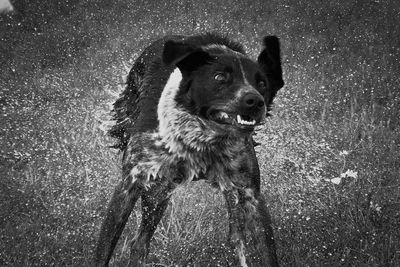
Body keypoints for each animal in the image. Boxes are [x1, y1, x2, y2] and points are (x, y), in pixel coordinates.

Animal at [94, 32, 284, 266]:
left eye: (262, 83)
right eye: (219, 77)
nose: (255, 101)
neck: (204, 141)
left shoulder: (250, 193)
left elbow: (264, 250)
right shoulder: (130, 184)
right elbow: (104, 250)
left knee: (234, 228)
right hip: (157, 191)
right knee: (140, 242)